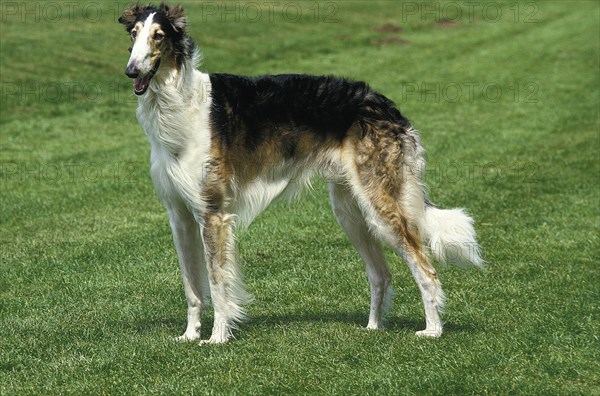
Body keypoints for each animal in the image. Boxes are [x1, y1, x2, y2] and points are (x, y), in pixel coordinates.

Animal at [118, 2, 482, 344]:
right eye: (133, 34)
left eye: (159, 36)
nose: (131, 71)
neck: (179, 106)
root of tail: (388, 107)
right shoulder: (179, 215)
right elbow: (192, 287)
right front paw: (190, 335)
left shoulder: (213, 213)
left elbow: (218, 284)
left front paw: (218, 338)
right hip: (350, 211)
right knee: (381, 274)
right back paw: (373, 327)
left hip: (380, 207)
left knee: (425, 270)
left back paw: (432, 330)